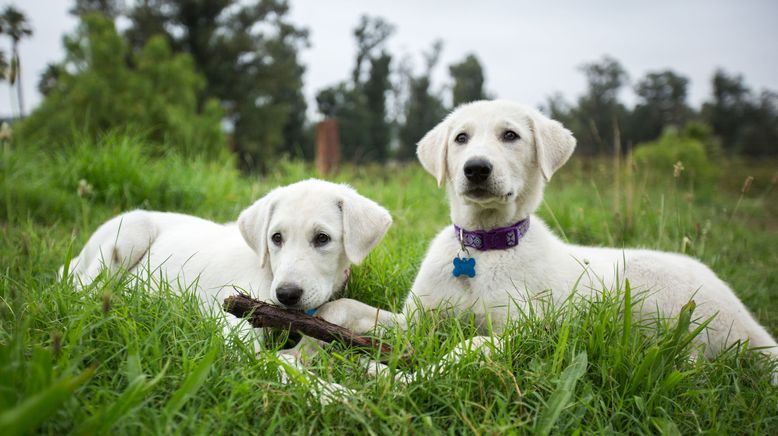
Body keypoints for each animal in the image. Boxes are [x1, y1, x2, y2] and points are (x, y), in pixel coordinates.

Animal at [60, 179, 392, 350]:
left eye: (322, 238)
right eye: (276, 238)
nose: (286, 295)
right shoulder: (238, 335)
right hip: (128, 234)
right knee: (83, 289)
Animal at [310, 100, 776, 380]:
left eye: (510, 136)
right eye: (460, 138)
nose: (476, 168)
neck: (483, 249)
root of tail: (748, 321)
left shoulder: (523, 331)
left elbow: (468, 346)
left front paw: (399, 375)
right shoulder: (420, 318)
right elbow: (354, 308)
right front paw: (320, 321)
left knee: (691, 356)